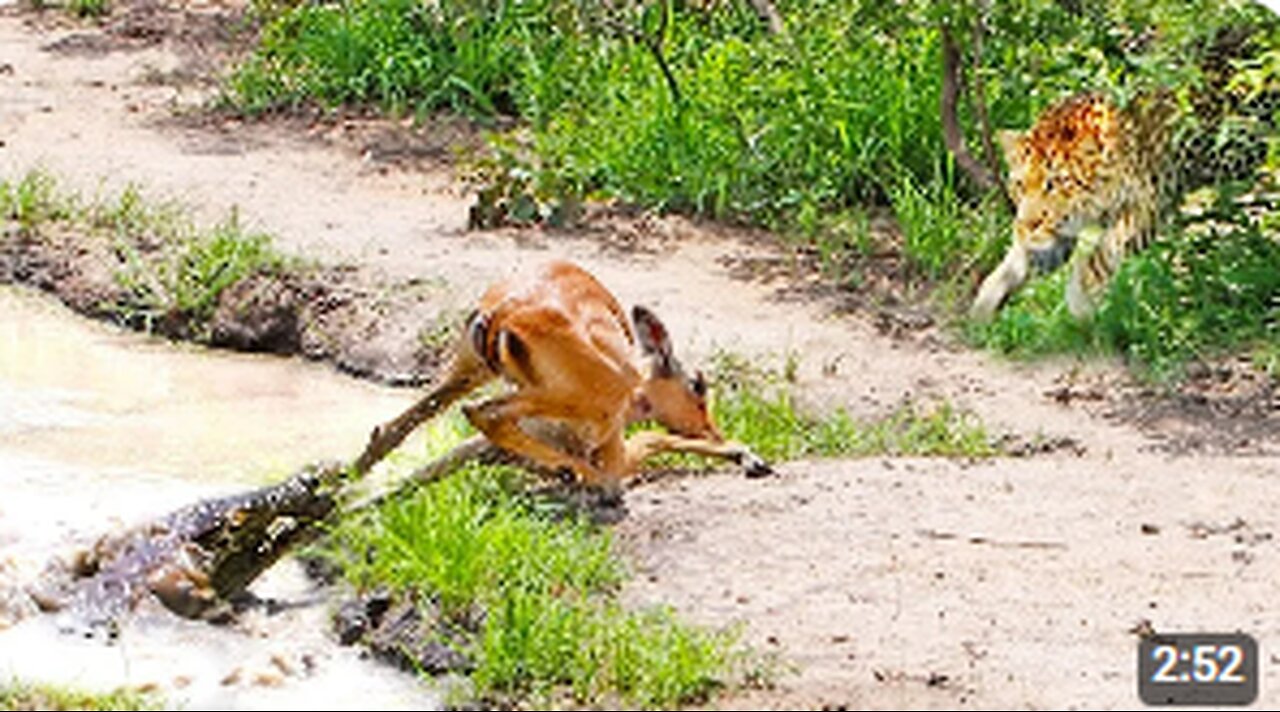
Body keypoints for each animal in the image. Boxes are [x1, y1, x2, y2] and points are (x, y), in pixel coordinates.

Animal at [962, 90, 1172, 321]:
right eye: (1020, 185)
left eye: (1052, 184)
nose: (1029, 224)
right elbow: (1017, 260)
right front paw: (984, 303)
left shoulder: (1151, 202)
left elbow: (1108, 247)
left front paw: (1080, 295)